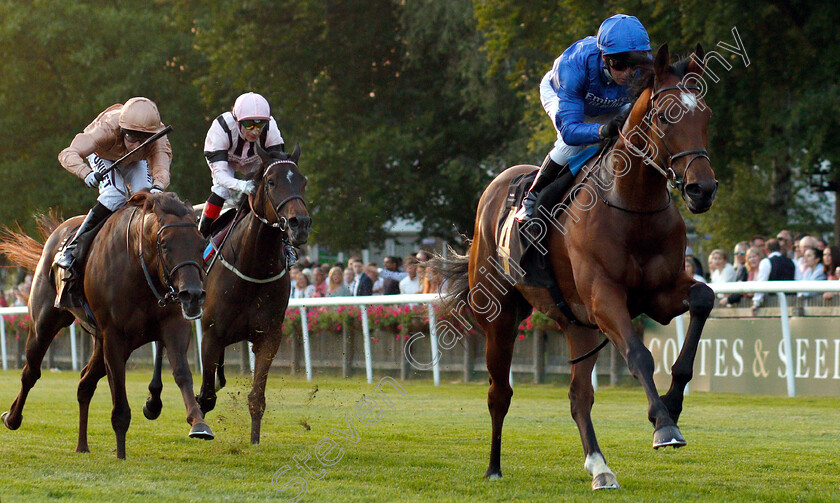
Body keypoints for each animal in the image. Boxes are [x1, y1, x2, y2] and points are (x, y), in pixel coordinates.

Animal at [0, 193, 210, 460]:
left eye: (201, 243)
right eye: (164, 244)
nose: (193, 295)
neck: (140, 270)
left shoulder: (173, 325)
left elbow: (182, 372)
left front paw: (198, 422)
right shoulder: (114, 336)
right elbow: (118, 393)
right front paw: (121, 453)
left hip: (101, 342)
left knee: (84, 383)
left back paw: (82, 445)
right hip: (43, 323)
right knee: (31, 372)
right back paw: (12, 418)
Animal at [147, 144, 312, 442]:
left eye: (302, 181)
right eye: (272, 182)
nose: (300, 223)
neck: (253, 268)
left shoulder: (268, 336)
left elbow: (256, 398)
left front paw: (255, 441)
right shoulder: (212, 334)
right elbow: (206, 397)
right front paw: (198, 419)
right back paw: (153, 401)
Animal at [436, 45, 720, 490]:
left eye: (704, 115)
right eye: (663, 116)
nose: (701, 189)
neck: (632, 206)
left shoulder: (658, 294)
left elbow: (703, 299)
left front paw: (673, 402)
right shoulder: (604, 297)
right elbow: (639, 355)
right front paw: (664, 425)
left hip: (578, 324)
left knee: (578, 397)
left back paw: (600, 467)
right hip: (501, 317)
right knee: (499, 394)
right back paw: (494, 467)